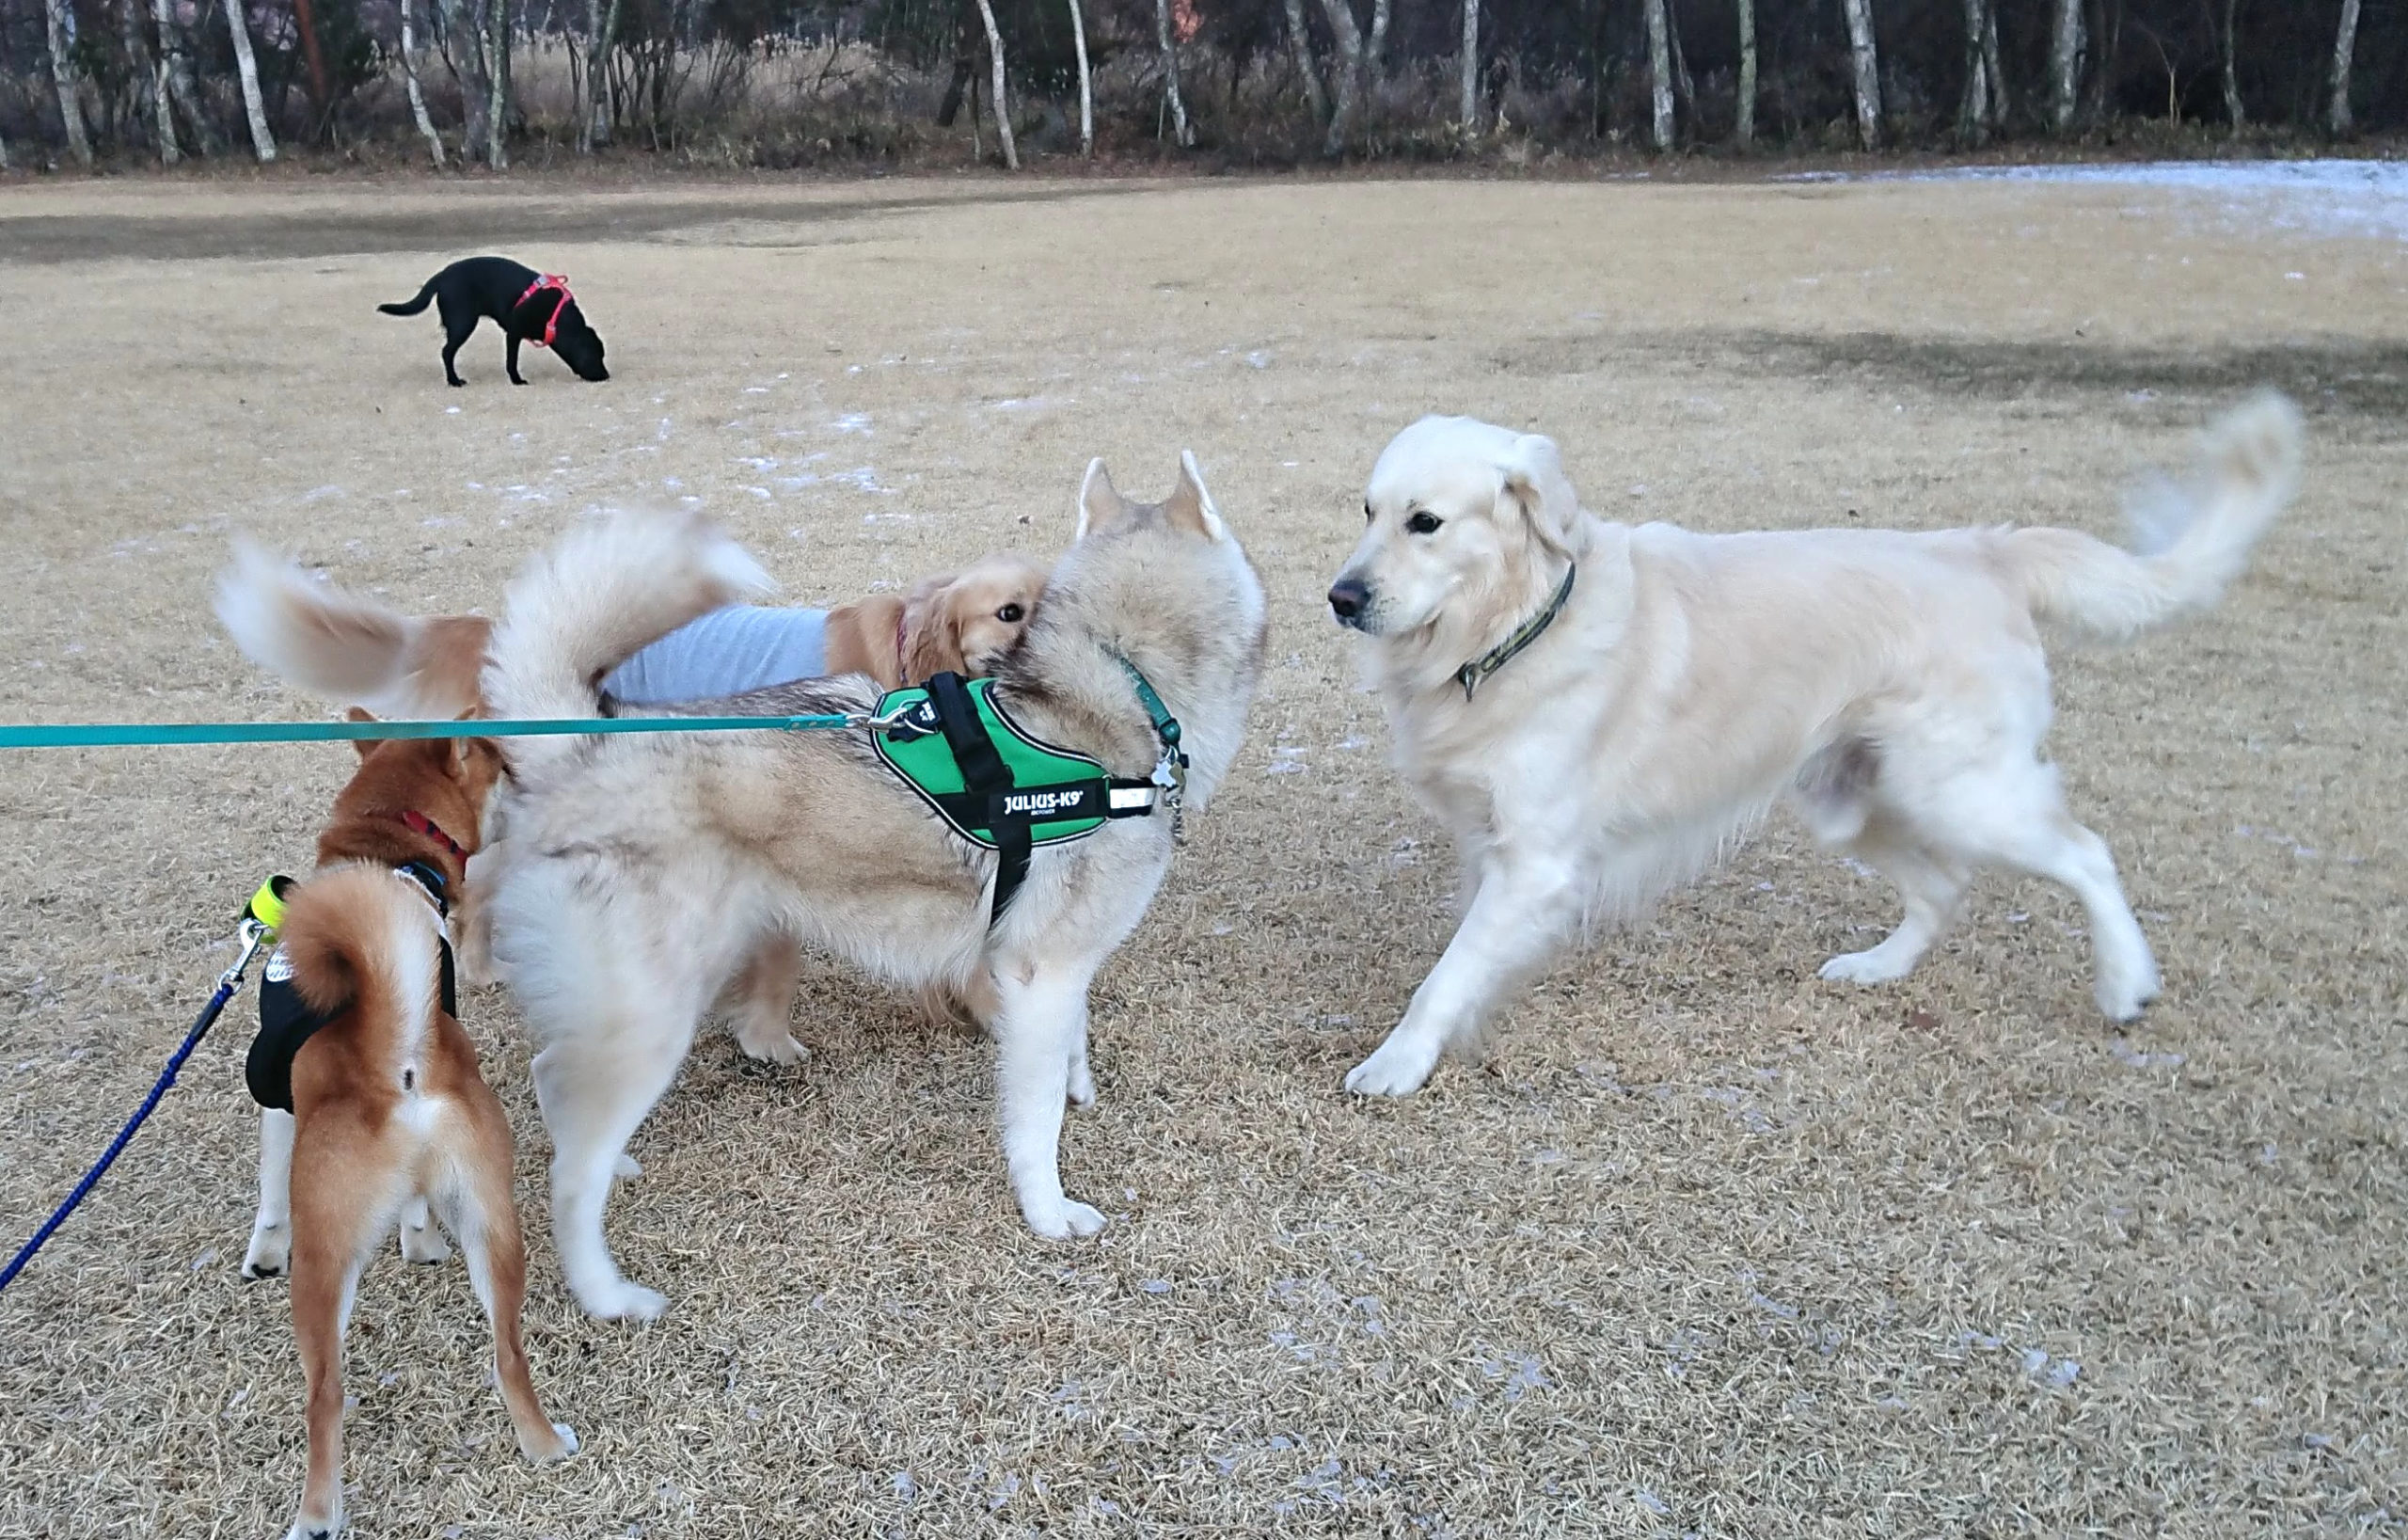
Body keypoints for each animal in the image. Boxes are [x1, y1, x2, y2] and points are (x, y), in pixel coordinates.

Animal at [233, 727, 573, 1540]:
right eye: (495, 761)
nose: (522, 768)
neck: (385, 853)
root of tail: (402, 1063)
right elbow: (417, 1210)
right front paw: (420, 1244)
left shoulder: (274, 1099)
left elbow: (269, 1191)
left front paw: (261, 1252)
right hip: (493, 1220)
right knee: (508, 1352)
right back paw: (544, 1444)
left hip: (324, 1262)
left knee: (325, 1394)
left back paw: (316, 1513)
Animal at [375, 255, 607, 388]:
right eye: (594, 355)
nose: (605, 376)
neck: (555, 317)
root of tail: (442, 275)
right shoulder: (513, 333)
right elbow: (511, 361)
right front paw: (517, 380)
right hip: (463, 322)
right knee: (446, 352)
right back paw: (454, 381)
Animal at [469, 460, 1261, 1330]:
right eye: (1009, 610)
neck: (1119, 683)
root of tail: (580, 743)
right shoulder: (1037, 975)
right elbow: (1035, 1117)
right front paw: (1050, 1212)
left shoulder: (1058, 966)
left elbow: (1070, 1047)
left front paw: (1080, 1085)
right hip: (653, 1015)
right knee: (568, 1176)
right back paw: (608, 1293)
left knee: (553, 1074)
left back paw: (617, 1163)